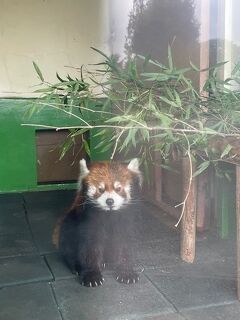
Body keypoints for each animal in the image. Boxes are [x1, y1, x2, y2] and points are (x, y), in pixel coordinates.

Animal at [55, 159, 142, 288]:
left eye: (118, 188)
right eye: (100, 189)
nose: (110, 201)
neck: (109, 215)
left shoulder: (126, 222)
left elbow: (125, 245)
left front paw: (127, 272)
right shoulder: (89, 222)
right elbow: (90, 247)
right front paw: (92, 275)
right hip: (69, 222)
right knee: (68, 244)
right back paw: (76, 266)